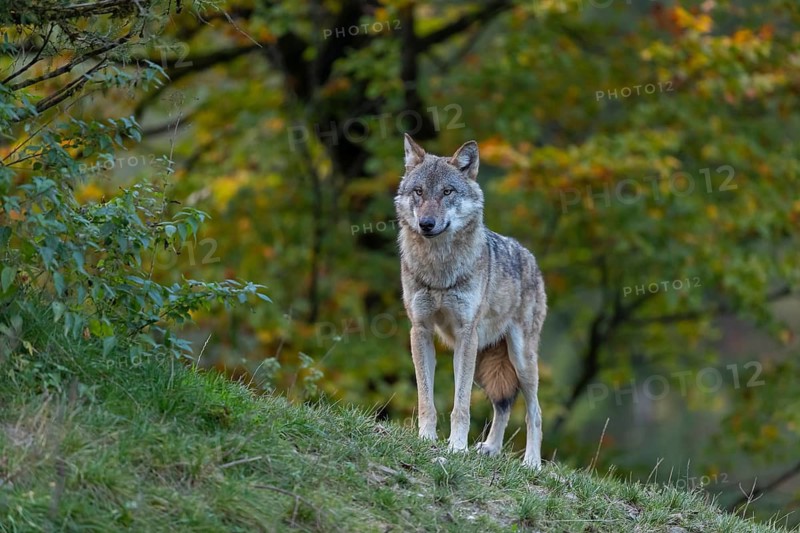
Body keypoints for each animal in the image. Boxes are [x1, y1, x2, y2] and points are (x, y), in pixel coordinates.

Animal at [395, 134, 547, 468]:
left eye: (447, 191)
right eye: (419, 191)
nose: (426, 223)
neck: (439, 269)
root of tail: (530, 258)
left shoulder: (466, 334)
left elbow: (460, 405)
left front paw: (457, 447)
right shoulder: (420, 330)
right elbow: (426, 399)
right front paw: (426, 438)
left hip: (519, 359)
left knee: (534, 411)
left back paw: (532, 462)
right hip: (482, 359)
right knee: (503, 406)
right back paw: (490, 448)